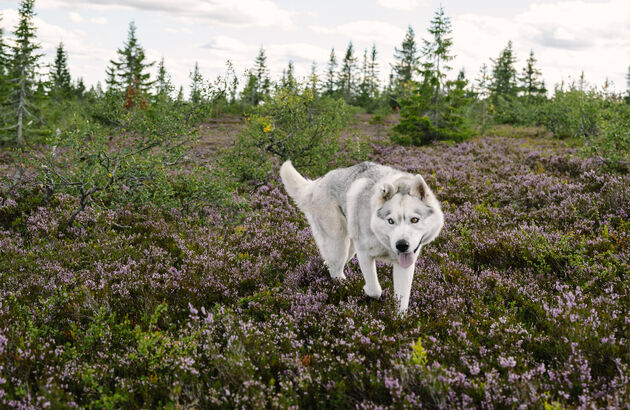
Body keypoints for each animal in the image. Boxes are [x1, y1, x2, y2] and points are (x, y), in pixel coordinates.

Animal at [282, 162, 444, 312]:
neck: (385, 243)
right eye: (390, 221)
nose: (402, 245)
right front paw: (366, 292)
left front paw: (399, 320)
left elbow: (402, 302)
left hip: (349, 251)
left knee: (329, 265)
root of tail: (316, 183)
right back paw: (344, 289)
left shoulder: (404, 265)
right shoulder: (364, 254)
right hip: (339, 245)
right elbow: (375, 290)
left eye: (415, 220)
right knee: (336, 271)